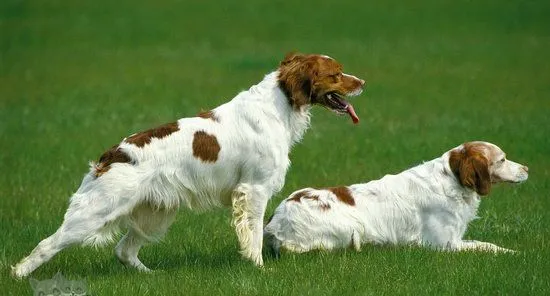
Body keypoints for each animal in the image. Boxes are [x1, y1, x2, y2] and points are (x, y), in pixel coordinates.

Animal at [10, 53, 366, 278]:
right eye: (336, 74)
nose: (362, 81)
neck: (278, 106)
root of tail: (111, 155)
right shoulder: (254, 191)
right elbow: (253, 237)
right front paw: (259, 268)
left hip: (156, 213)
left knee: (124, 251)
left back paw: (151, 276)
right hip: (96, 212)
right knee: (47, 245)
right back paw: (18, 275)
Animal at [266, 141, 532, 254]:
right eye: (502, 160)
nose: (527, 168)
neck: (452, 181)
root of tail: (275, 222)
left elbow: (485, 243)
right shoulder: (444, 244)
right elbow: (485, 246)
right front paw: (512, 253)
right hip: (352, 227)